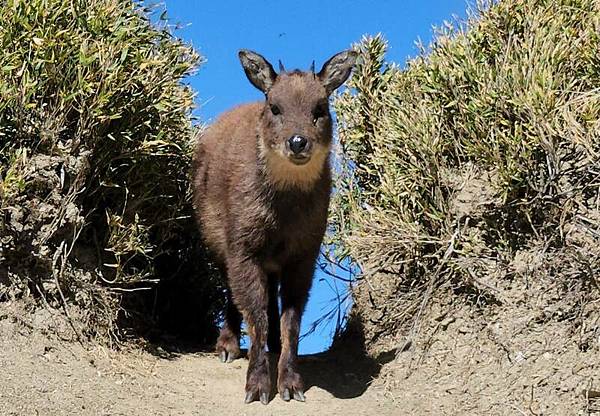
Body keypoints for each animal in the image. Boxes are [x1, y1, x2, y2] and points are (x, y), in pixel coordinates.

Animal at [192, 48, 356, 404]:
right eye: (275, 106)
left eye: (320, 108)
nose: (297, 142)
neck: (283, 213)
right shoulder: (243, 247)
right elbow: (256, 317)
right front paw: (256, 387)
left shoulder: (304, 254)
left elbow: (290, 321)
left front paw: (291, 385)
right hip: (218, 242)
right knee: (234, 294)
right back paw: (226, 346)